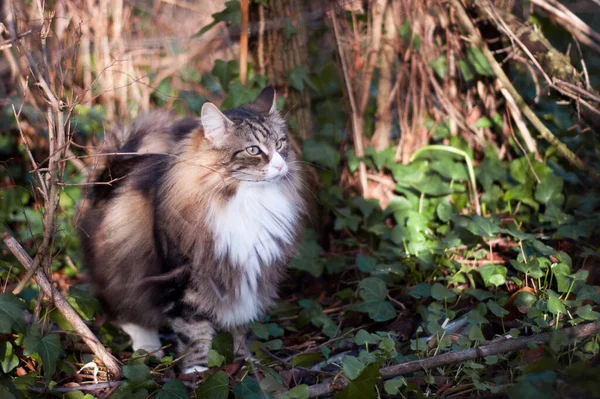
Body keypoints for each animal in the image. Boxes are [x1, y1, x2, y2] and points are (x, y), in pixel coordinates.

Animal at [79, 86, 304, 376]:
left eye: (280, 143)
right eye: (253, 150)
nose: (279, 165)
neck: (244, 199)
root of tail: (113, 169)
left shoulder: (247, 274)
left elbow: (241, 326)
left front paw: (245, 362)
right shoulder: (182, 279)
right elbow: (194, 334)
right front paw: (196, 372)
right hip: (122, 265)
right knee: (126, 311)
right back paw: (148, 348)